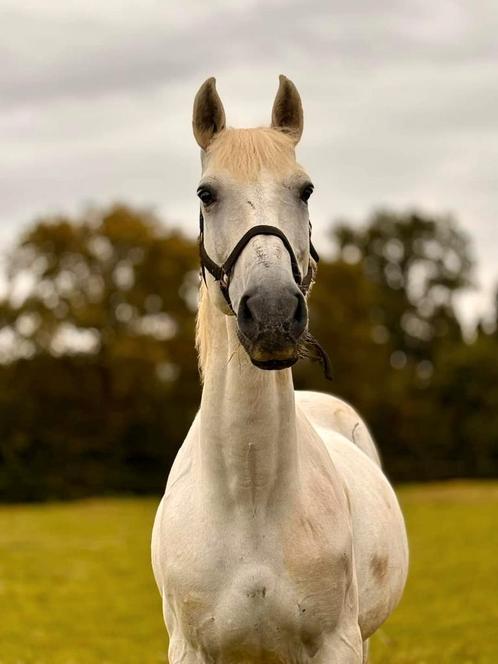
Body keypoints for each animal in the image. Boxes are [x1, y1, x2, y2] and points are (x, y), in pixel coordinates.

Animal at [153, 74, 408, 664]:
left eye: (305, 189)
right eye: (206, 193)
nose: (272, 314)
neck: (249, 502)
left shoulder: (339, 644)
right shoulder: (190, 650)